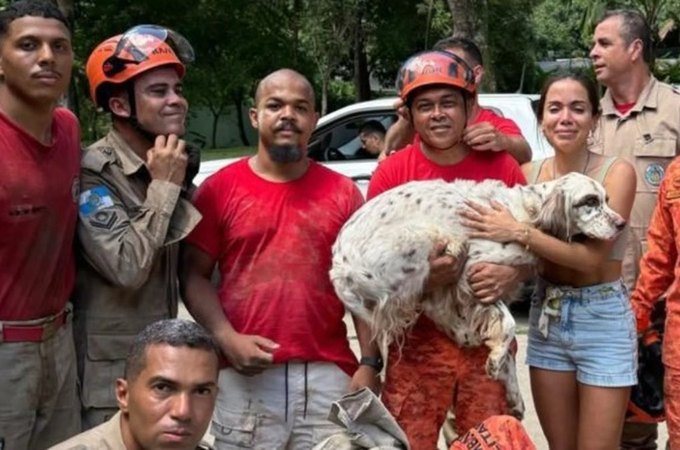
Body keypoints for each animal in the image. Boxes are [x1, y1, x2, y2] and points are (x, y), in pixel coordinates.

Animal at [330, 172, 628, 418]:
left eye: (606, 199)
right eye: (590, 201)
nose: (621, 223)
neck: (527, 213)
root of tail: (339, 264)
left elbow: (507, 347)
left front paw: (513, 393)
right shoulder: (473, 269)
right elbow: (508, 324)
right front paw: (495, 360)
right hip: (424, 237)